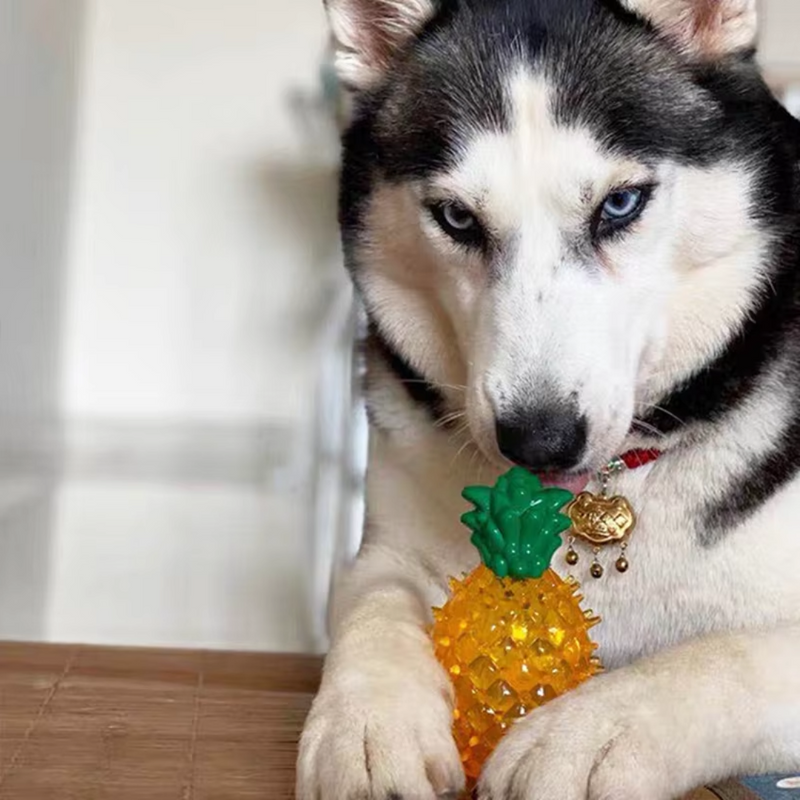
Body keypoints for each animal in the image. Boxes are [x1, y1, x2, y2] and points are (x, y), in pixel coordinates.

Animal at [298, 1, 800, 800]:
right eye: (456, 218)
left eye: (620, 204)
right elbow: (373, 606)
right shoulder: (384, 551)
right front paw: (367, 727)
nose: (539, 439)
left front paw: (592, 733)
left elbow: (723, 657)